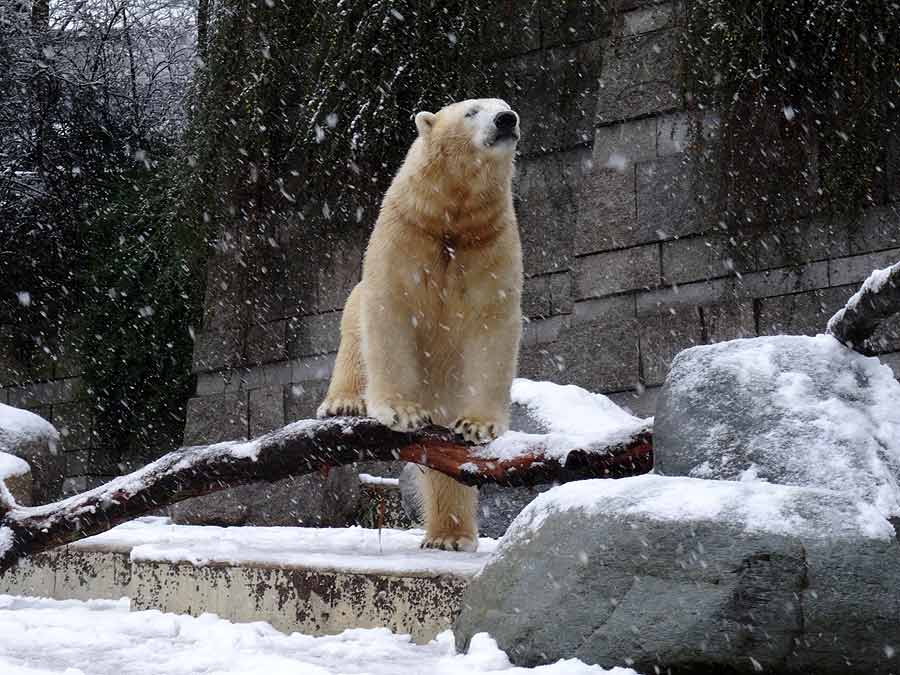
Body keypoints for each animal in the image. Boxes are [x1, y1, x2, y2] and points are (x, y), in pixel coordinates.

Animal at [320, 97, 524, 552]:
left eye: (506, 105)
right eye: (472, 111)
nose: (508, 119)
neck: (451, 219)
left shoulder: (490, 242)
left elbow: (491, 326)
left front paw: (478, 425)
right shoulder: (406, 231)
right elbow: (391, 311)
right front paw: (403, 412)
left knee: (447, 464)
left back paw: (451, 536)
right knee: (353, 337)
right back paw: (343, 401)